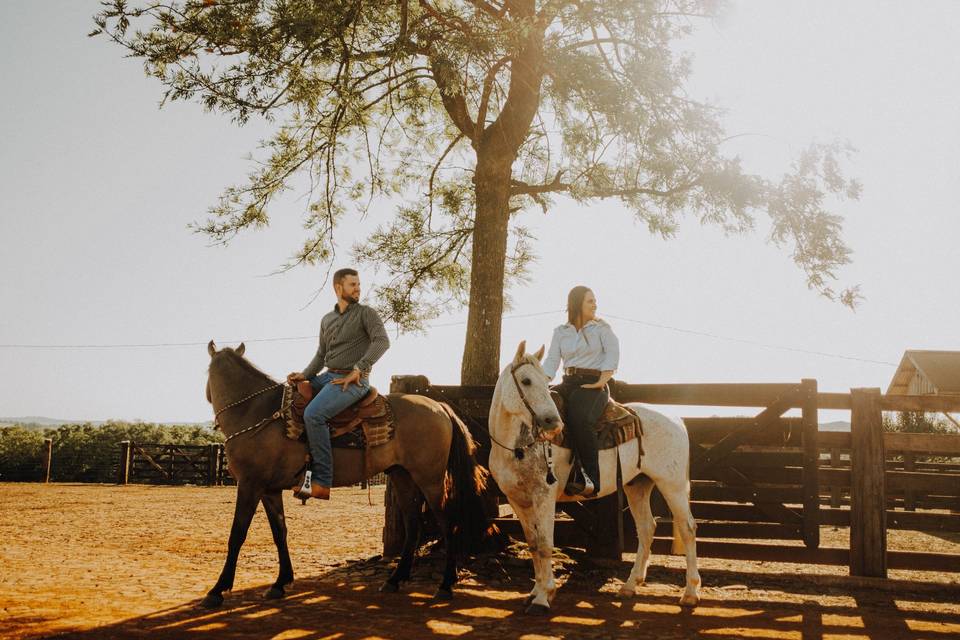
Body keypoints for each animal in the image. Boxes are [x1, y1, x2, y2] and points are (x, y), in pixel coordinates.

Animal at [201, 342, 488, 608]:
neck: (255, 412)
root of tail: (440, 407)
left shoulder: (250, 485)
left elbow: (237, 535)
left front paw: (217, 590)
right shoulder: (269, 489)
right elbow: (279, 532)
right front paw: (280, 583)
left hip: (430, 480)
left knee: (448, 523)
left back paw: (446, 585)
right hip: (402, 476)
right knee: (413, 525)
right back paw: (394, 580)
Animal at [492, 342, 700, 612]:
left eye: (545, 381)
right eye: (526, 380)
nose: (553, 423)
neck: (516, 445)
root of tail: (676, 420)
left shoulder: (544, 496)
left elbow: (546, 544)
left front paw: (543, 597)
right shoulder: (517, 500)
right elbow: (534, 545)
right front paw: (535, 592)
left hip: (671, 485)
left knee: (687, 527)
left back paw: (691, 593)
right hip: (637, 485)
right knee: (646, 528)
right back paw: (630, 586)